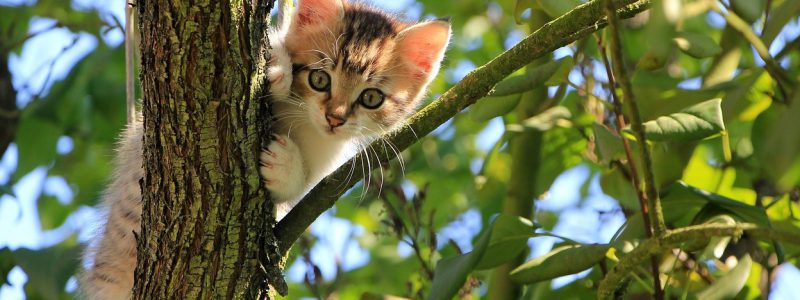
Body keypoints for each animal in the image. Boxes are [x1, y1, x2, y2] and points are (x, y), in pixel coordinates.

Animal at [80, 0, 450, 298]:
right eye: (320, 79)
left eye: (371, 97)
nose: (335, 118)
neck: (302, 122)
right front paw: (276, 65)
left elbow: (299, 187)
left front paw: (284, 165)